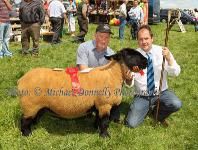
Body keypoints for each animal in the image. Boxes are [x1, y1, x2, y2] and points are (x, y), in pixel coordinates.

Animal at [18, 47, 147, 138]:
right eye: (129, 55)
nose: (146, 61)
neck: (112, 75)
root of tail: (21, 79)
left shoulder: (99, 105)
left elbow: (99, 119)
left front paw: (96, 129)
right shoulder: (105, 104)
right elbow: (105, 122)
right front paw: (105, 136)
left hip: (37, 105)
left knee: (33, 117)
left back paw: (34, 126)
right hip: (30, 104)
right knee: (24, 120)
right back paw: (27, 134)